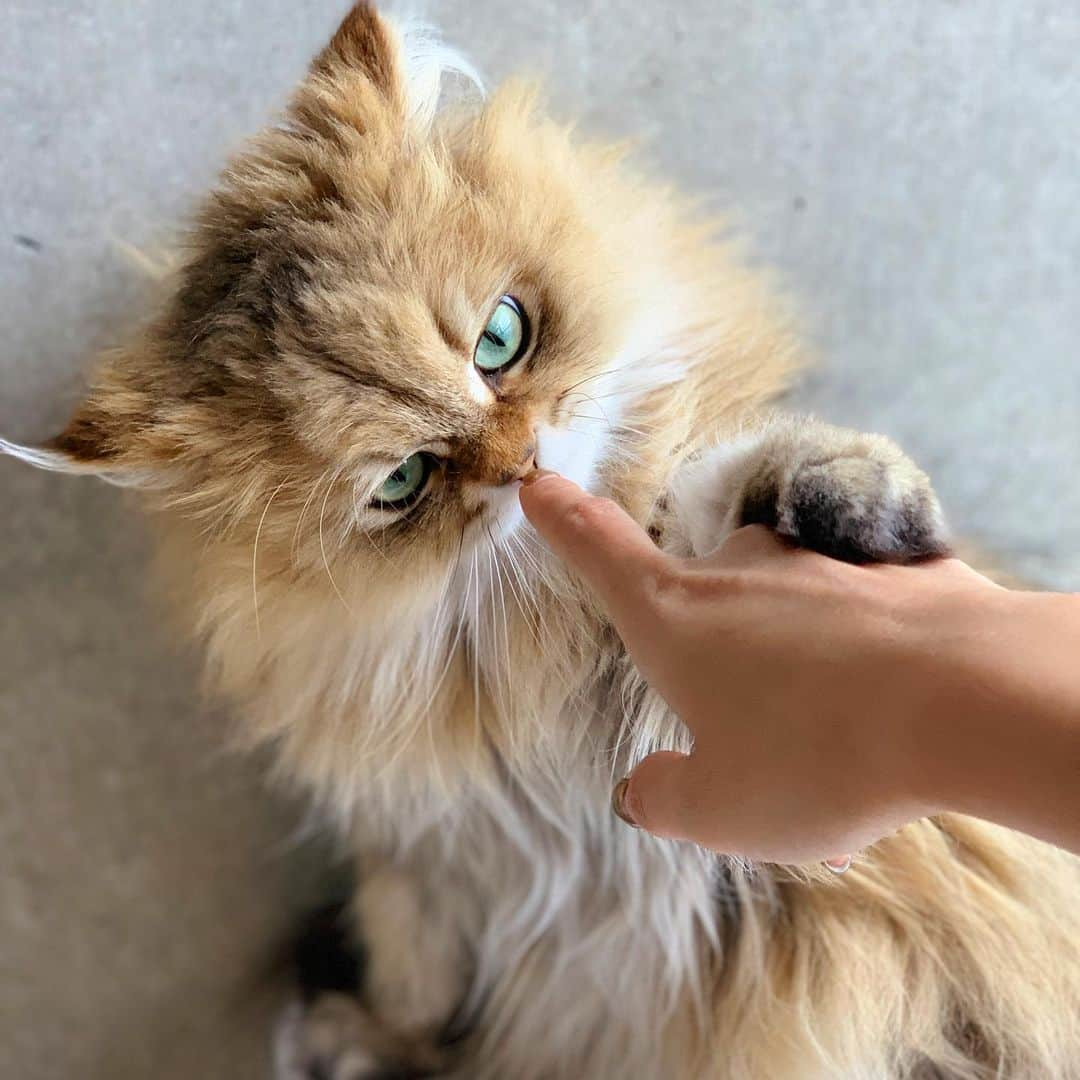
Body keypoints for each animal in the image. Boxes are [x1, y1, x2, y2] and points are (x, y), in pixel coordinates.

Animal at [4, 4, 1075, 1075]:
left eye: (500, 338)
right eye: (402, 482)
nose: (523, 462)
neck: (541, 634)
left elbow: (721, 485)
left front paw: (848, 499)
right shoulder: (427, 860)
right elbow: (415, 983)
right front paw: (353, 1037)